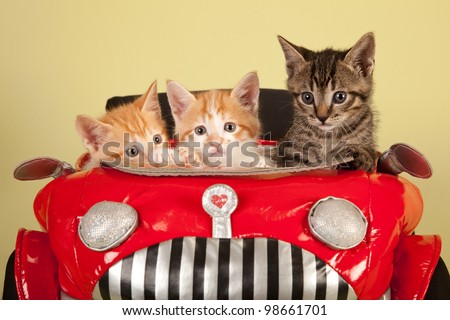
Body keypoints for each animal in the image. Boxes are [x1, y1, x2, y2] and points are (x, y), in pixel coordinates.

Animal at [276, 32, 378, 171]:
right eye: (307, 97)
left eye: (340, 97)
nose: (322, 117)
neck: (329, 136)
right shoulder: (286, 150)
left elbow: (368, 156)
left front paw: (359, 155)